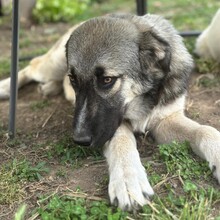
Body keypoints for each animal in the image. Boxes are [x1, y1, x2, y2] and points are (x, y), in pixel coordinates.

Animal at [0, 13, 220, 210]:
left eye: (107, 80)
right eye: (74, 80)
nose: (79, 140)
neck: (140, 98)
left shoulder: (166, 120)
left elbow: (205, 130)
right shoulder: (114, 126)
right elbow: (122, 142)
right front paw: (128, 179)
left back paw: (49, 88)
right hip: (54, 63)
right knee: (32, 65)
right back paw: (6, 87)